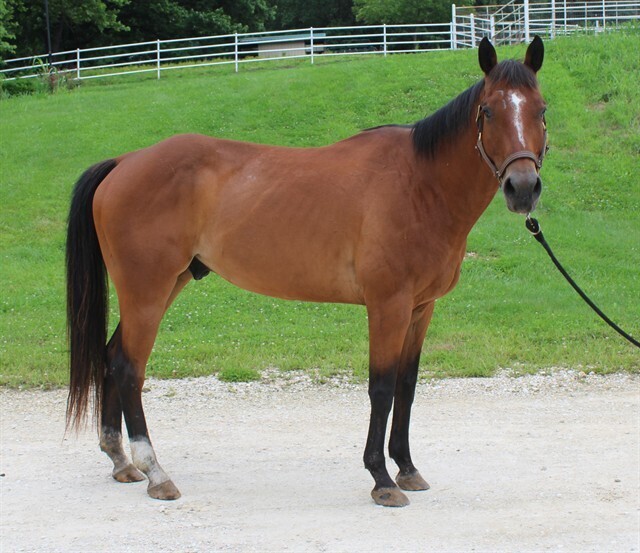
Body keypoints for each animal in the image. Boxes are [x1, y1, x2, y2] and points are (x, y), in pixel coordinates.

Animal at [66, 36, 548, 507]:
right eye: (489, 110)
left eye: (541, 109)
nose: (522, 188)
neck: (419, 184)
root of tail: (125, 161)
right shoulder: (387, 306)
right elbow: (381, 387)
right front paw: (381, 478)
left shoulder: (420, 308)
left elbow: (407, 387)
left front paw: (407, 469)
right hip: (146, 291)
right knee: (129, 367)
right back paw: (155, 472)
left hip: (164, 287)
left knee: (112, 356)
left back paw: (121, 461)